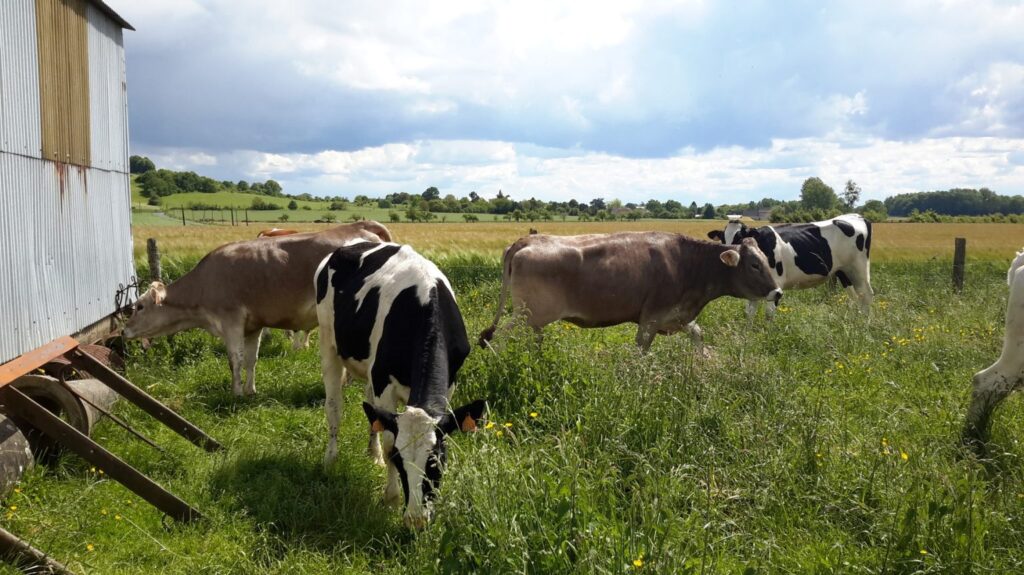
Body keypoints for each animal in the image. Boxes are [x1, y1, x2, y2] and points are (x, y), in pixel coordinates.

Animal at [120, 218, 391, 392]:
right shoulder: (253, 326)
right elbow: (251, 359)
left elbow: (235, 360)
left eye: (140, 306)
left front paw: (236, 393)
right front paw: (250, 390)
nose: (123, 331)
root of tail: (360, 225)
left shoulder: (231, 321)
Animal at [313, 239, 485, 527]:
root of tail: (351, 244)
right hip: (329, 343)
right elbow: (389, 439)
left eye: (436, 462)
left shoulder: (449, 386)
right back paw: (330, 460)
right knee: (334, 407)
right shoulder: (384, 381)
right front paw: (391, 498)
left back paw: (373, 454)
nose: (416, 520)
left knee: (370, 408)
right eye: (400, 460)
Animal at [479, 229, 782, 349]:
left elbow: (698, 334)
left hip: (532, 319)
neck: (688, 264)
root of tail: (525, 241)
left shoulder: (676, 315)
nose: (777, 293)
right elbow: (640, 352)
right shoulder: (651, 318)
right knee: (499, 337)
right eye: (754, 264)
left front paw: (705, 361)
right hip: (526, 314)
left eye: (767, 260)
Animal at [712, 212, 872, 317]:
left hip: (859, 268)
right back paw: (855, 317)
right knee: (855, 296)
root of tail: (857, 216)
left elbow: (769, 312)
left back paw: (864, 322)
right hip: (843, 271)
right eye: (722, 238)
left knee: (866, 294)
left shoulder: (776, 283)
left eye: (740, 238)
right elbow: (749, 312)